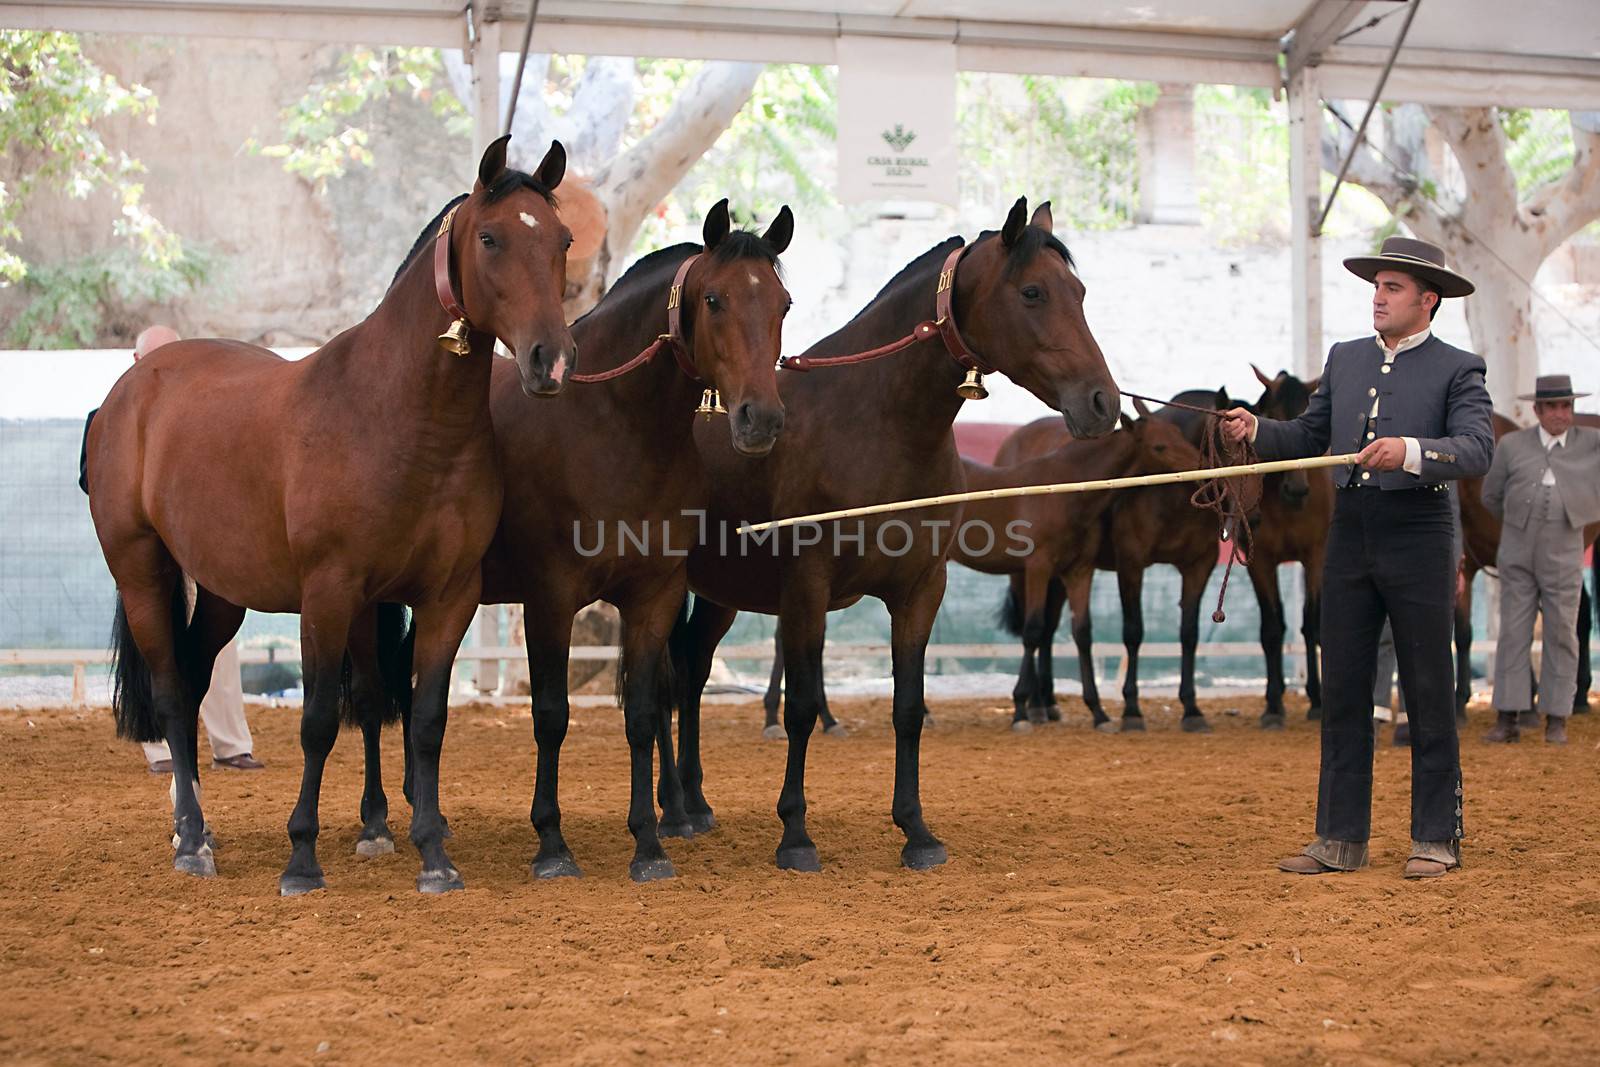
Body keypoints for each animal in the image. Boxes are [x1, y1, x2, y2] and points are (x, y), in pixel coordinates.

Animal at [87, 137, 576, 895]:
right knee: (170, 694)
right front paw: (302, 858)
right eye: (491, 238)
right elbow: (318, 720)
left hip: (223, 593)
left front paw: (431, 853)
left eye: (562, 240)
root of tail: (128, 390)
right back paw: (192, 839)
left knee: (195, 684)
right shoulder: (329, 591)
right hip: (142, 574)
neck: (397, 415)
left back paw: (195, 826)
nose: (549, 360)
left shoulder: (447, 595)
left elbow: (423, 719)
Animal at [363, 199, 800, 883]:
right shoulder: (550, 598)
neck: (611, 425)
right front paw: (552, 843)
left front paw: (649, 843)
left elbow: (644, 714)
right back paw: (378, 821)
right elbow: (551, 715)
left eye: (782, 304)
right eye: (714, 300)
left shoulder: (654, 596)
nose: (762, 419)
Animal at [668, 198, 1120, 870]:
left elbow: (908, 708)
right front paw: (795, 834)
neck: (873, 423)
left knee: (693, 668)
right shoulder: (807, 589)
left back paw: (695, 804)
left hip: (722, 593)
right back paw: (672, 809)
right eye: (1033, 291)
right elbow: (803, 706)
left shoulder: (919, 590)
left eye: (1081, 292)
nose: (1102, 403)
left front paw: (917, 831)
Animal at [985, 390, 1235, 735]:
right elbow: (1133, 631)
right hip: (1026, 573)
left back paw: (1046, 704)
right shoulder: (1130, 563)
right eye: (1225, 440)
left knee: (1048, 629)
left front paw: (1192, 709)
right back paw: (1034, 705)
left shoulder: (1198, 566)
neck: (1171, 499)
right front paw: (1131, 710)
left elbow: (1189, 634)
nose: (1221, 488)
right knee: (1034, 625)